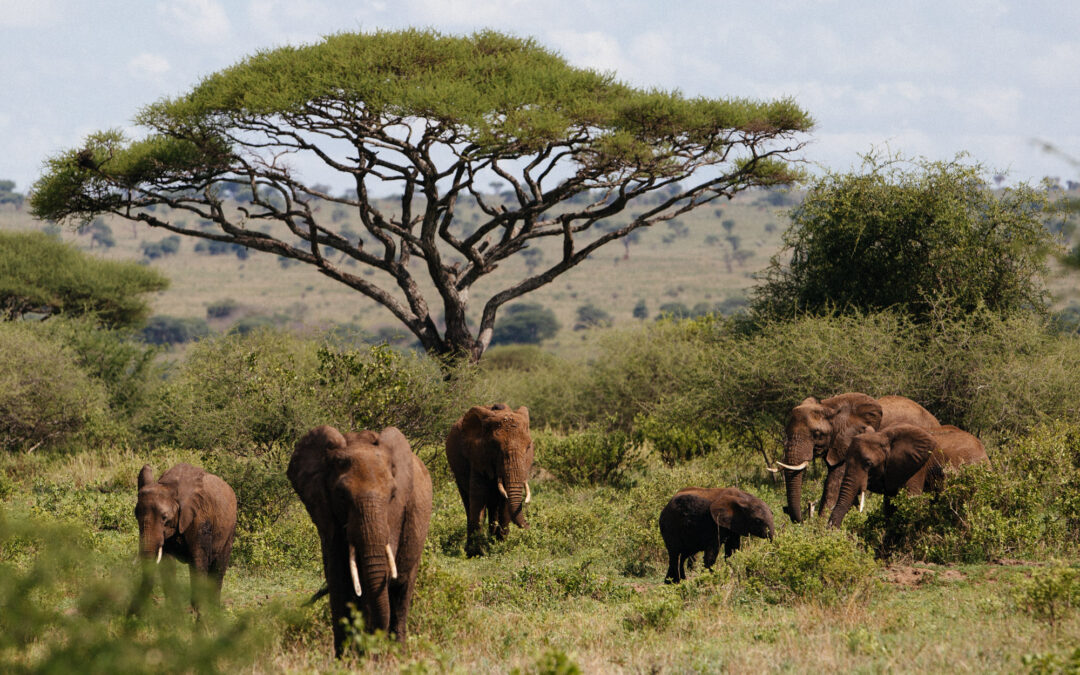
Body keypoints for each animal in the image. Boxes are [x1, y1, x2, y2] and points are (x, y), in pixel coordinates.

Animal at [131, 462, 237, 609]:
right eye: (136, 514)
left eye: (164, 517)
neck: (169, 485)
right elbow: (167, 562)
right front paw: (174, 610)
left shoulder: (199, 518)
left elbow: (198, 560)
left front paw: (197, 612)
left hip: (230, 530)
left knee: (218, 568)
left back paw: (214, 609)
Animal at [293, 423, 436, 656]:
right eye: (341, 495)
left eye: (393, 494)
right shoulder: (327, 514)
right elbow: (339, 578)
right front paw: (345, 659)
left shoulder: (394, 516)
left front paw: (369, 657)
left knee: (401, 594)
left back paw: (398, 655)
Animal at [444, 399, 533, 552]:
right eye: (495, 447)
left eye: (528, 447)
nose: (530, 527)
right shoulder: (477, 456)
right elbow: (478, 499)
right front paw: (477, 552)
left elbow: (504, 503)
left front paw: (500, 546)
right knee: (468, 503)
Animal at [829, 423, 989, 529]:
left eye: (868, 463)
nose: (832, 529)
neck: (884, 437)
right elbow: (890, 507)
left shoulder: (916, 468)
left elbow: (910, 500)